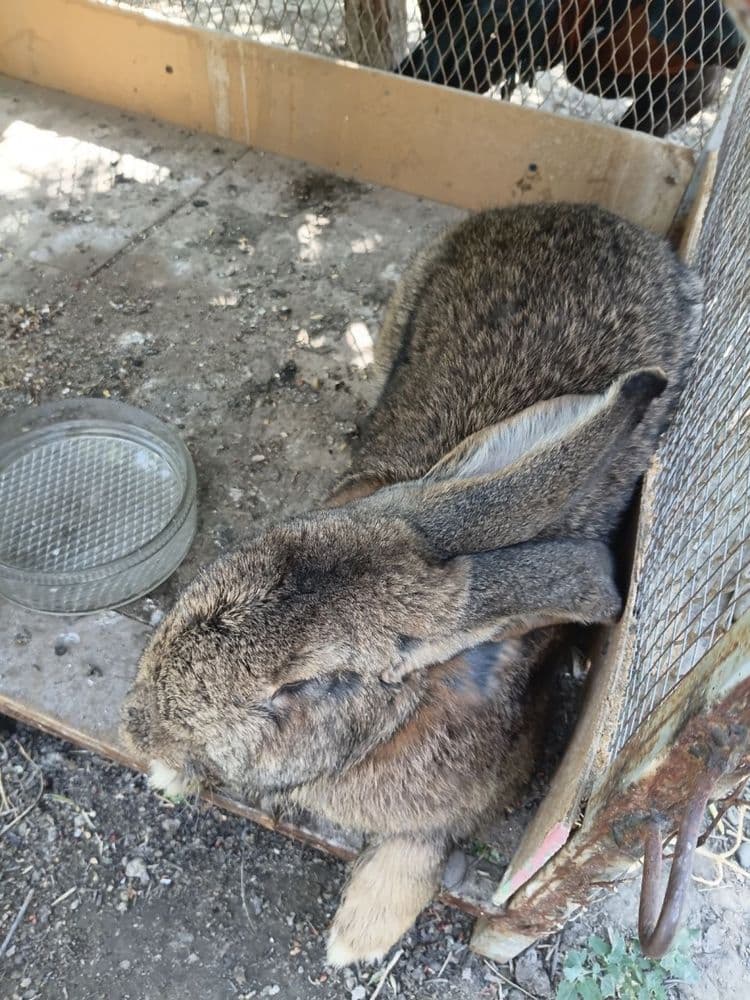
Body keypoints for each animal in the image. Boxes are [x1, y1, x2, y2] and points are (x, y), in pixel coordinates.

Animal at [122, 202, 702, 966]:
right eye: (246, 553)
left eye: (308, 686)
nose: (136, 728)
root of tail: (579, 211)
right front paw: (171, 775)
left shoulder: (483, 794)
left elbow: (422, 850)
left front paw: (355, 937)